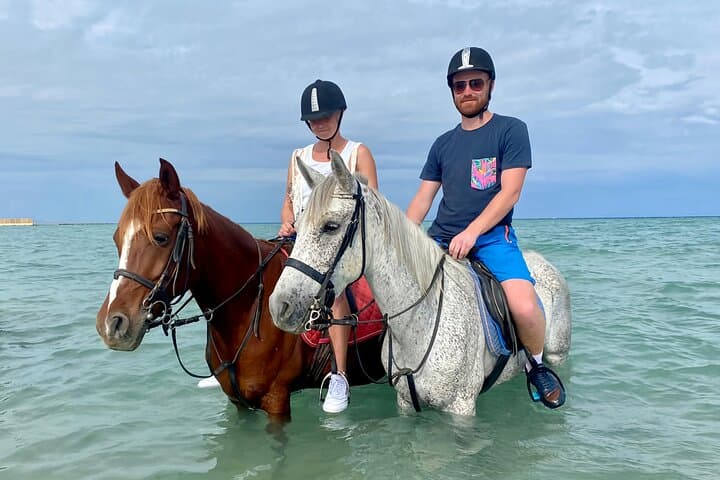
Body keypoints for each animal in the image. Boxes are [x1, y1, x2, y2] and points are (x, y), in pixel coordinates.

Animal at [96, 158, 385, 421]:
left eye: (160, 237)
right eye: (117, 238)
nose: (112, 324)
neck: (250, 305)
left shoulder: (276, 400)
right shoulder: (238, 401)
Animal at [269, 151, 572, 416]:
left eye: (330, 226)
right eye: (297, 226)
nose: (279, 306)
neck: (420, 321)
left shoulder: (461, 409)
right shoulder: (405, 401)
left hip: (556, 354)